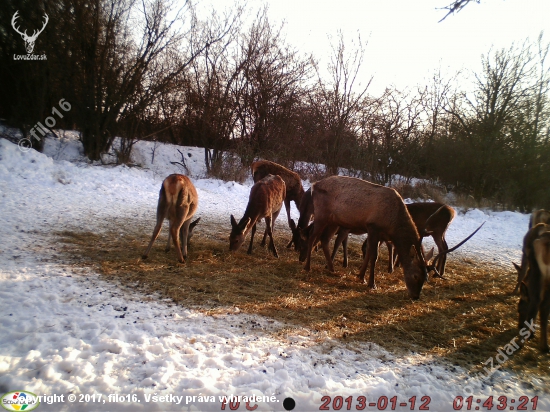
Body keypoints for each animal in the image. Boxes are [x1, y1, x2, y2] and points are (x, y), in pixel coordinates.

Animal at [302, 175, 488, 298]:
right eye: (415, 276)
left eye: (426, 278)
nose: (415, 296)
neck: (392, 222)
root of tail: (314, 185)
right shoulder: (373, 226)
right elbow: (374, 256)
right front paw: (371, 282)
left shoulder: (379, 233)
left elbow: (369, 253)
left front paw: (361, 276)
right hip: (322, 214)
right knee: (311, 236)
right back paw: (307, 266)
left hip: (334, 220)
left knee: (324, 239)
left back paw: (331, 268)